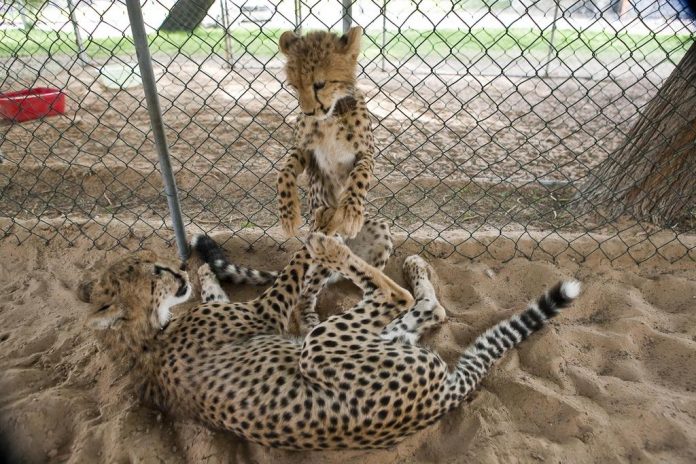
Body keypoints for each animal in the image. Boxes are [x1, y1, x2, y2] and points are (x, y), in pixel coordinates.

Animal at [79, 232, 581, 450]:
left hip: (366, 341)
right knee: (397, 297)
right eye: (152, 273)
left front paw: (205, 263)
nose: (175, 269)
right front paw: (315, 242)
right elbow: (291, 270)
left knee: (425, 309)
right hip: (324, 346)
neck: (146, 336)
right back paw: (338, 244)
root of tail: (441, 398)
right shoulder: (266, 313)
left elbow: (222, 284)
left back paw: (405, 263)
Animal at [274, 26, 394, 331]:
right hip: (317, 250)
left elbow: (359, 178)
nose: (307, 110)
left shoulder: (366, 154)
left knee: (361, 278)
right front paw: (288, 215)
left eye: (319, 84)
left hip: (380, 231)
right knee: (306, 293)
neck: (330, 116)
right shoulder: (304, 151)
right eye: (294, 86)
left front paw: (350, 212)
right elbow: (284, 171)